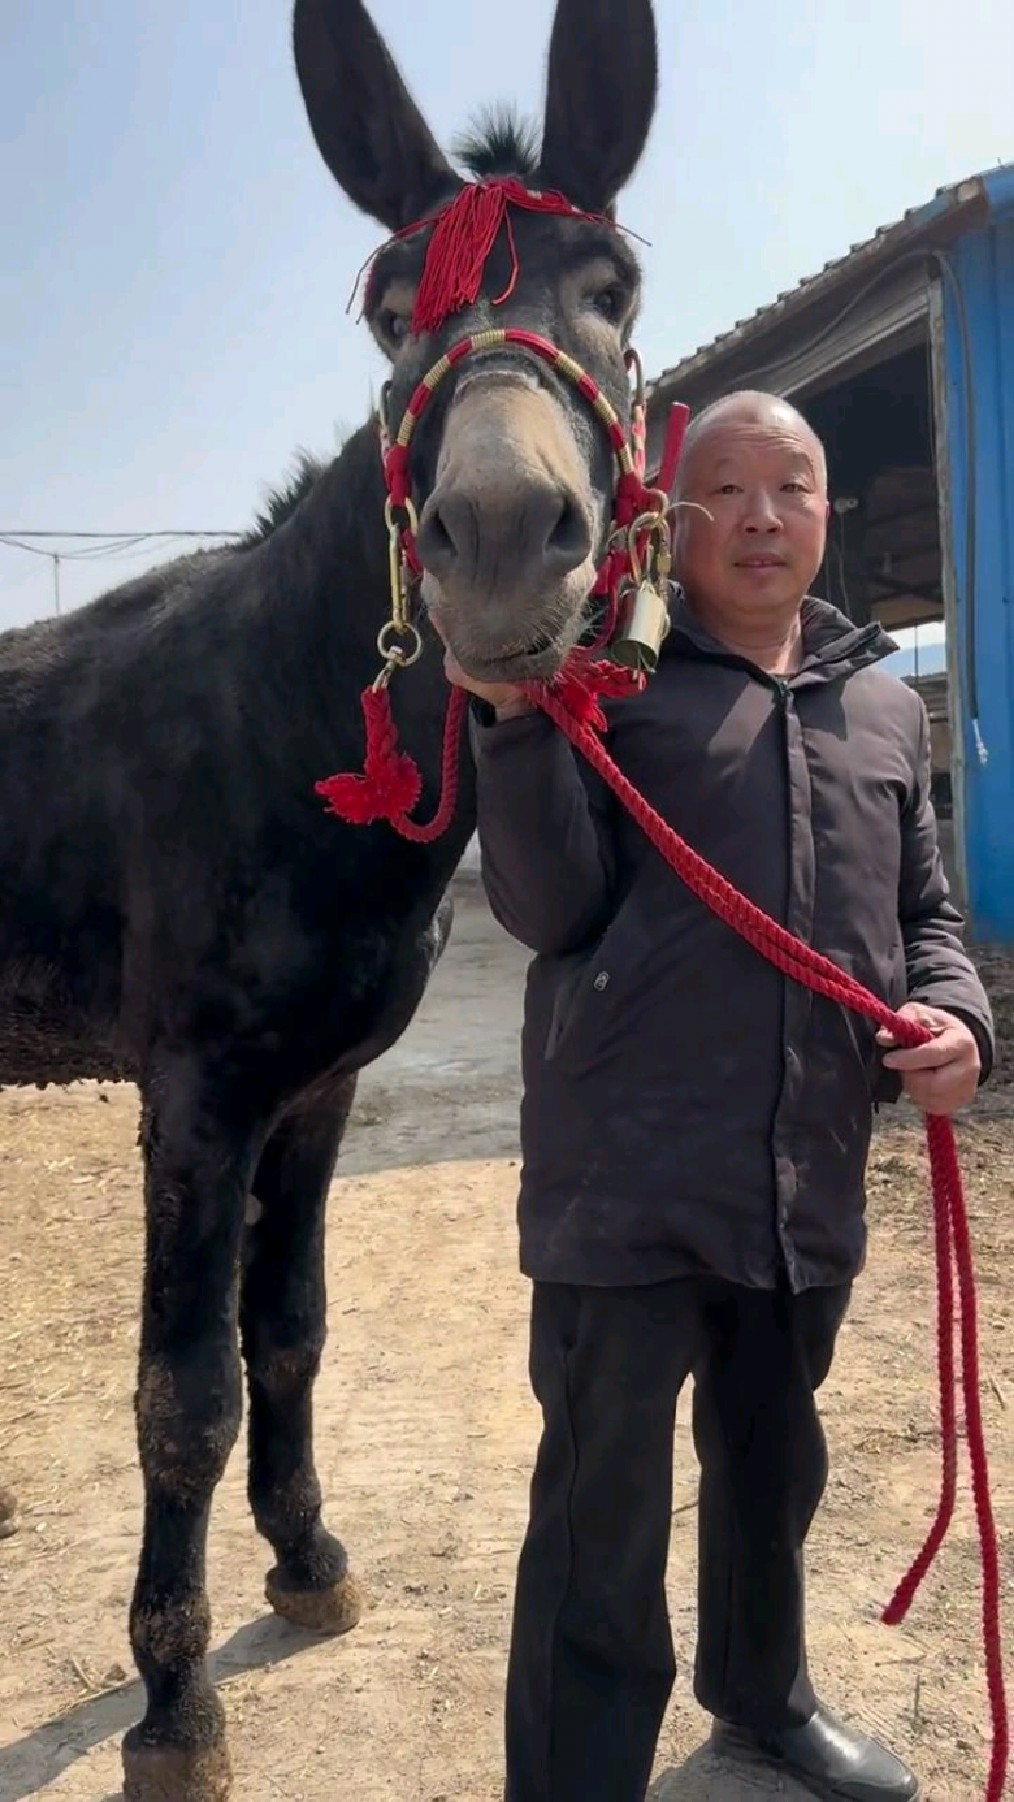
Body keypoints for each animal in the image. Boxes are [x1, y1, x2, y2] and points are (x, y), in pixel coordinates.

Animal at [0, 0, 659, 1795]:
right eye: (385, 309)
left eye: (613, 287)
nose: (496, 539)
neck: (287, 725)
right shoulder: (196, 1097)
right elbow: (183, 1393)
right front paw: (175, 1704)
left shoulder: (316, 1091)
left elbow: (288, 1330)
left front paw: (304, 1564)